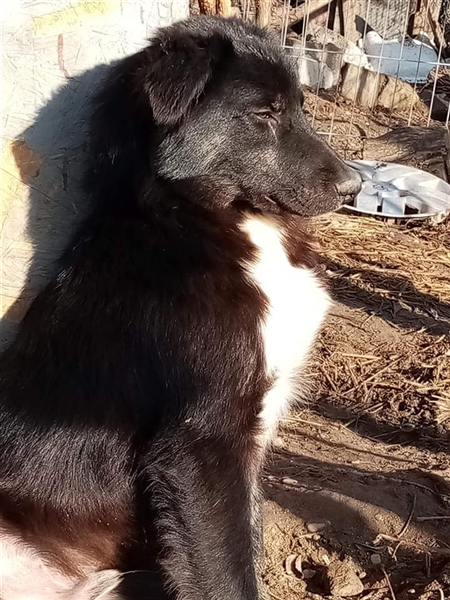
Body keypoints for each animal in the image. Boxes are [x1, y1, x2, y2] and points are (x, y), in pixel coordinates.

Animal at [0, 16, 361, 600]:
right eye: (264, 114)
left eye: (300, 107)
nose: (355, 186)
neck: (194, 219)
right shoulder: (202, 441)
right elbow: (226, 572)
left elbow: (246, 538)